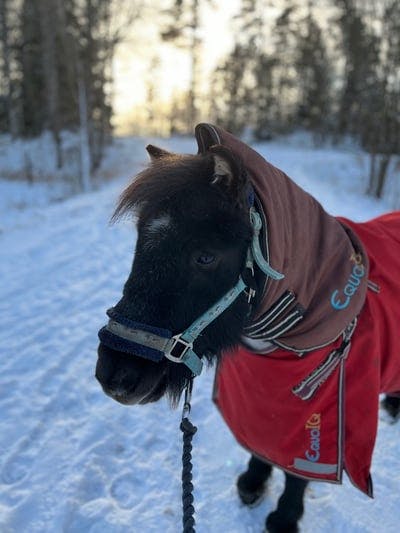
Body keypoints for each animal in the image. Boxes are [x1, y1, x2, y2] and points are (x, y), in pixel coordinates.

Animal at [97, 130, 400, 532]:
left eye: (206, 256)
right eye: (140, 241)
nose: (115, 374)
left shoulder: (315, 420)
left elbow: (296, 471)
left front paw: (285, 517)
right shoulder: (260, 399)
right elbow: (260, 444)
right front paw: (253, 482)